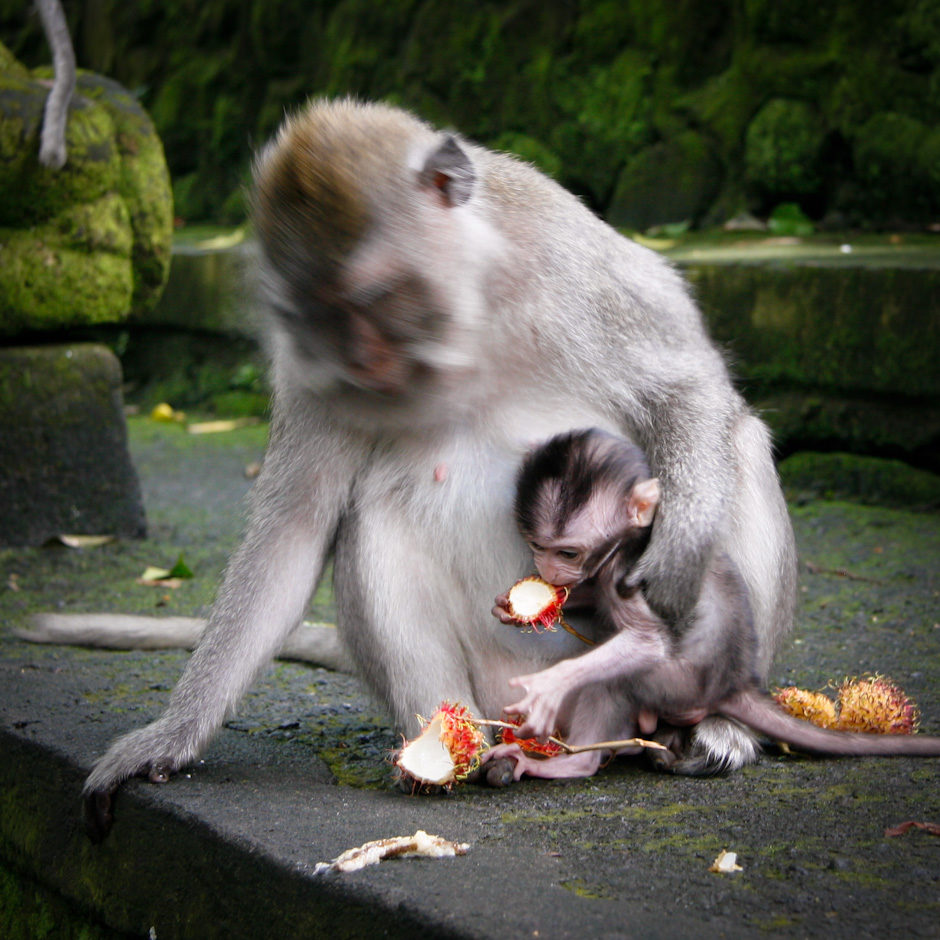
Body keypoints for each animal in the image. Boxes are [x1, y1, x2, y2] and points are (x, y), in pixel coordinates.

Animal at [80, 98, 797, 839]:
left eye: (373, 296)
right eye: (313, 314)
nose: (360, 363)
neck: (470, 318)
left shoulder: (579, 267)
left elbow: (687, 389)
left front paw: (677, 557)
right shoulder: (303, 368)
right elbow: (296, 528)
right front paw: (171, 734)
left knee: (738, 444)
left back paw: (715, 725)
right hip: (501, 688)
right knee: (371, 523)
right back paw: (461, 754)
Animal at [484, 428, 940, 781]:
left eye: (568, 553)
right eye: (537, 546)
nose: (546, 568)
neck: (630, 540)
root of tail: (734, 682)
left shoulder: (627, 571)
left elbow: (647, 642)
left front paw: (551, 685)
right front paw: (513, 607)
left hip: (680, 684)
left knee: (614, 680)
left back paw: (573, 763)